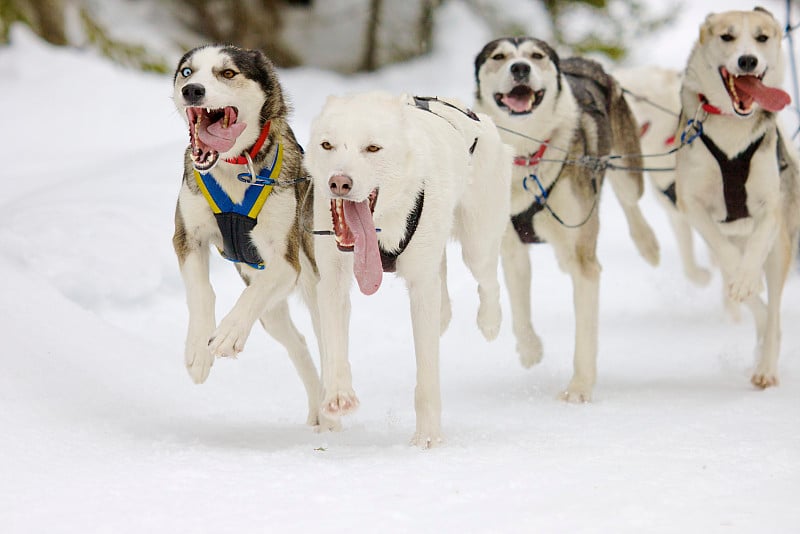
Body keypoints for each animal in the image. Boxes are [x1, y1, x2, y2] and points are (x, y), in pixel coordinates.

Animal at [173, 45, 328, 428]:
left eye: (228, 73)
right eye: (187, 72)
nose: (192, 91)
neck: (233, 169)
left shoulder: (285, 261)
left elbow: (256, 289)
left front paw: (228, 332)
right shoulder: (187, 237)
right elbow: (201, 292)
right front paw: (198, 349)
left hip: (317, 293)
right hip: (271, 316)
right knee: (299, 344)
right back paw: (317, 410)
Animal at [306, 92, 512, 448]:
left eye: (372, 148)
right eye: (327, 145)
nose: (339, 182)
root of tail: (477, 117)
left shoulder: (421, 288)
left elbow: (427, 375)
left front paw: (428, 436)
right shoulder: (332, 281)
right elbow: (334, 345)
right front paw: (339, 394)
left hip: (477, 244)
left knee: (488, 281)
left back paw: (490, 321)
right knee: (442, 277)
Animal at [472, 36, 660, 402]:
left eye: (536, 55)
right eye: (499, 56)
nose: (520, 68)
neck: (529, 157)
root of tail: (584, 62)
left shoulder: (585, 262)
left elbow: (584, 333)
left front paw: (579, 388)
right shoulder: (511, 247)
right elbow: (519, 307)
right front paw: (530, 349)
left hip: (625, 169)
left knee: (630, 201)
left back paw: (648, 244)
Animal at [676, 8, 800, 390]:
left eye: (762, 37)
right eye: (727, 37)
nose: (748, 60)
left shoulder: (770, 207)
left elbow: (759, 241)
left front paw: (746, 279)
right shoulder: (692, 204)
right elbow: (725, 252)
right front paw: (741, 280)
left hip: (780, 250)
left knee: (772, 314)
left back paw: (766, 367)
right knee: (758, 307)